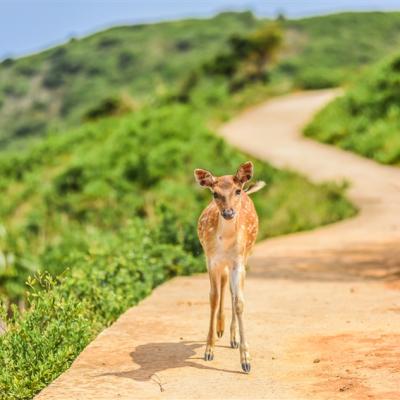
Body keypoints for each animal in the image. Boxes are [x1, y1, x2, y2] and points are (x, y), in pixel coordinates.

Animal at [195, 161, 266, 374]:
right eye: (214, 193)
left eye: (237, 190)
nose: (228, 213)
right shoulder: (211, 260)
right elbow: (213, 298)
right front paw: (209, 350)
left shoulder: (238, 262)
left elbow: (239, 302)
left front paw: (246, 361)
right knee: (223, 286)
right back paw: (220, 329)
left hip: (246, 254)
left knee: (233, 292)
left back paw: (232, 338)